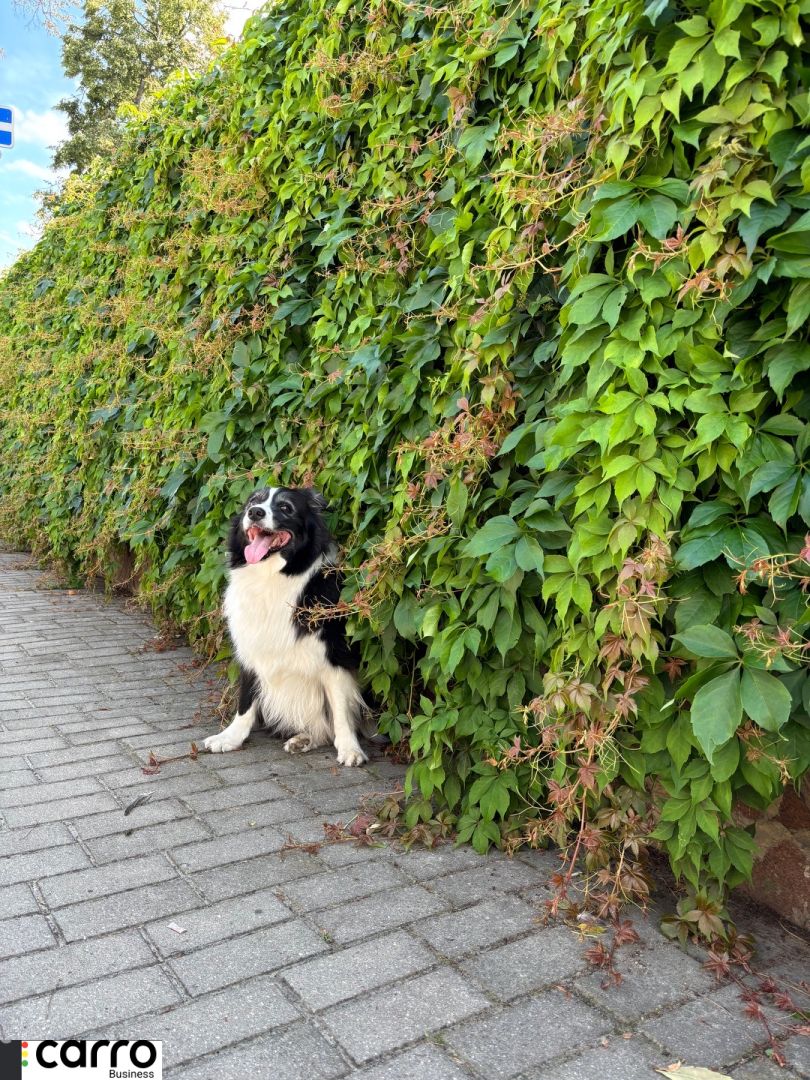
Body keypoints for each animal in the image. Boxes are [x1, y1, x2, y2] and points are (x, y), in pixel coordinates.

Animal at [204, 486, 369, 766]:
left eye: (285, 508)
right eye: (253, 501)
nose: (255, 513)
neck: (271, 577)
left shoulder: (334, 657)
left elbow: (341, 710)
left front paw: (350, 748)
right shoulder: (251, 651)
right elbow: (245, 701)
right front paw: (230, 737)